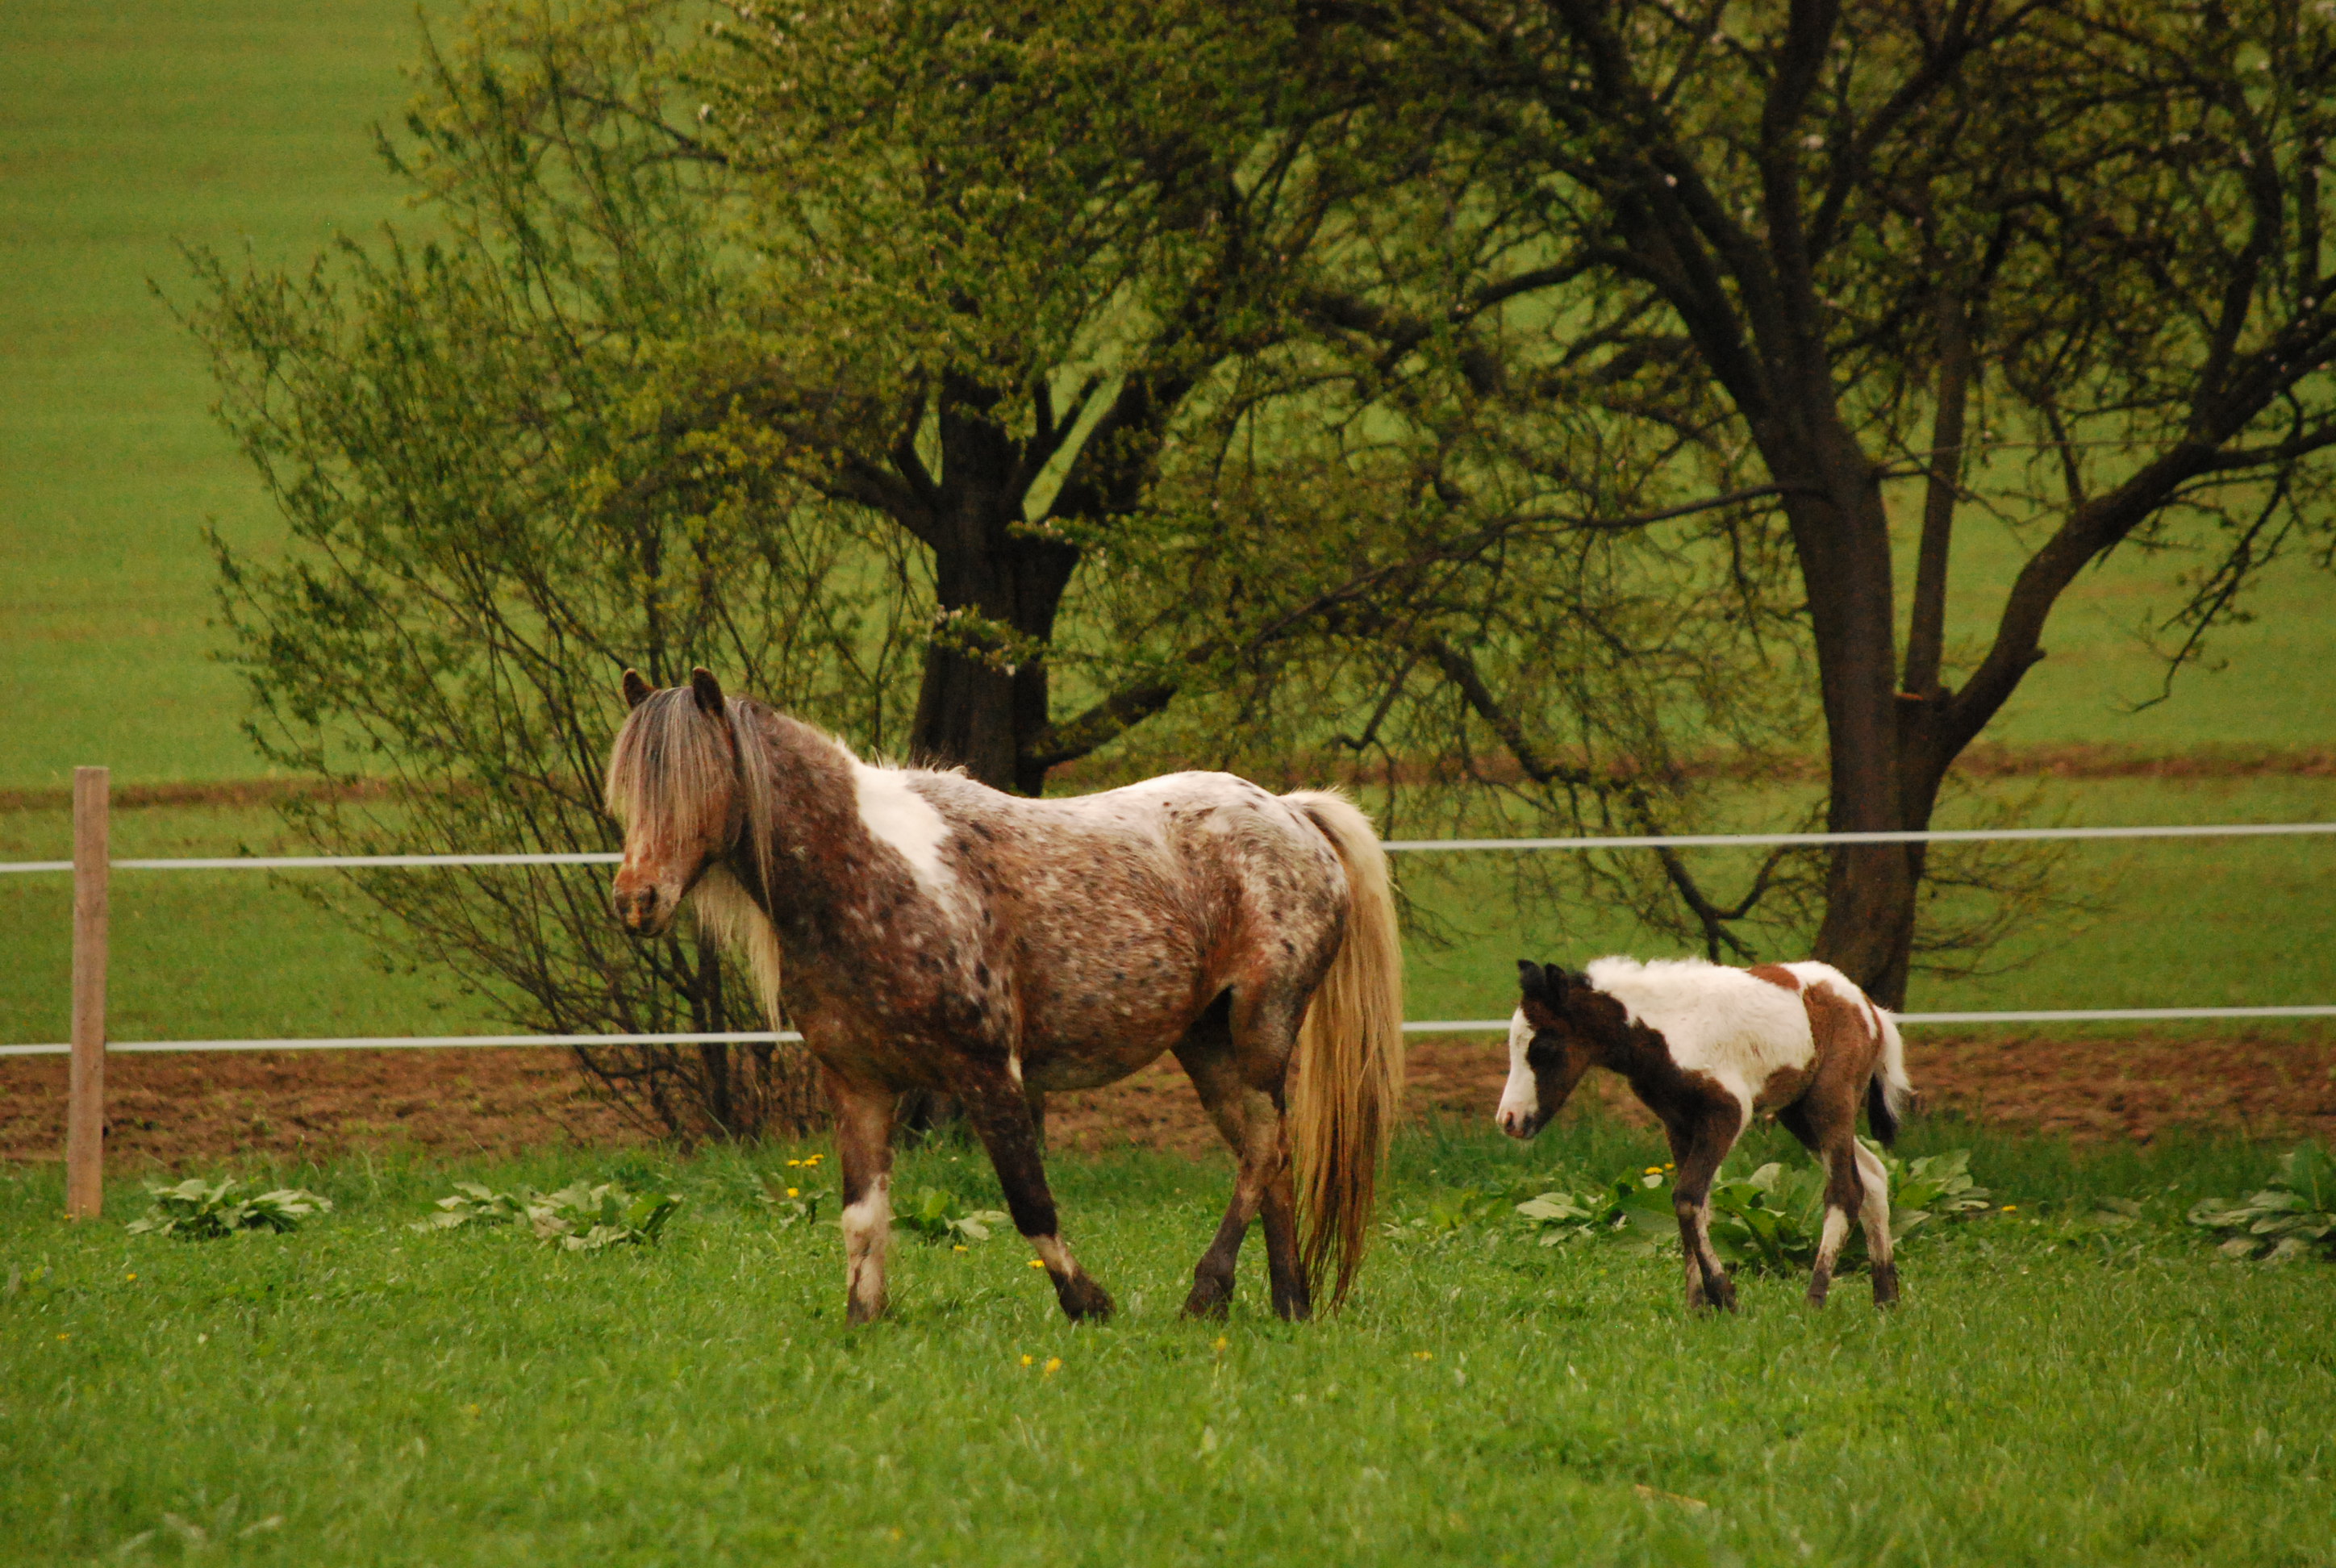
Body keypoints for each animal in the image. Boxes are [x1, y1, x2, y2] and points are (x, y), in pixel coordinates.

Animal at [607, 668, 1401, 1318]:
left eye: (699, 785)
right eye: (629, 795)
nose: (636, 901)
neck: (867, 877)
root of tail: (1292, 811)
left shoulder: (987, 1071)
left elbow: (1030, 1202)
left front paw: (1088, 1304)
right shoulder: (858, 1084)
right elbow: (863, 1220)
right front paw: (864, 1323)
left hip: (1263, 1025)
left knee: (1265, 1148)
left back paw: (1209, 1293)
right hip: (1205, 1043)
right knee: (1269, 1159)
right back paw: (1289, 1303)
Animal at [1504, 957, 1906, 1308]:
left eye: (1543, 1046)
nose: (1508, 1120)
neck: (1667, 1029)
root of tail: (1871, 1009)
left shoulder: (1727, 1113)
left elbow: (1687, 1197)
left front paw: (1724, 1298)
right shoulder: (1678, 1123)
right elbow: (1695, 1203)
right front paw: (1697, 1307)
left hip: (1829, 1101)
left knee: (1845, 1191)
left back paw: (1815, 1301)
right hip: (1799, 1113)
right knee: (1873, 1176)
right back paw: (1886, 1300)